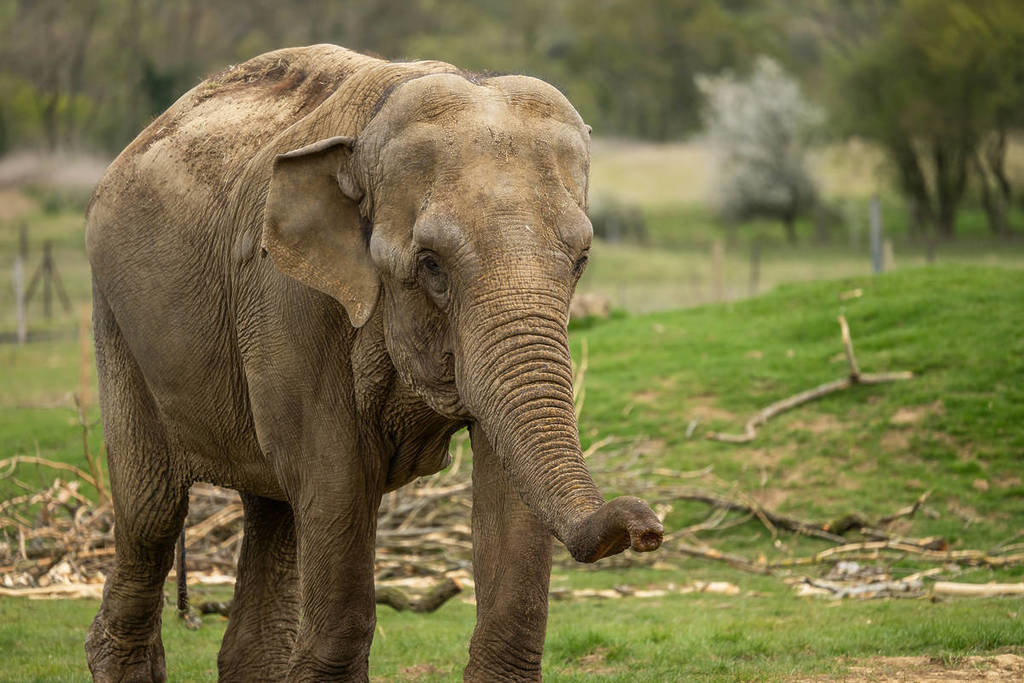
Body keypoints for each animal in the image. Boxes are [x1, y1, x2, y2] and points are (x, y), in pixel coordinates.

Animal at [84, 44, 663, 681]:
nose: (646, 527)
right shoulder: (288, 299)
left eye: (581, 258)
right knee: (153, 511)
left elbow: (506, 491)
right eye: (431, 264)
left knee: (273, 511)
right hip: (118, 320)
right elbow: (336, 478)